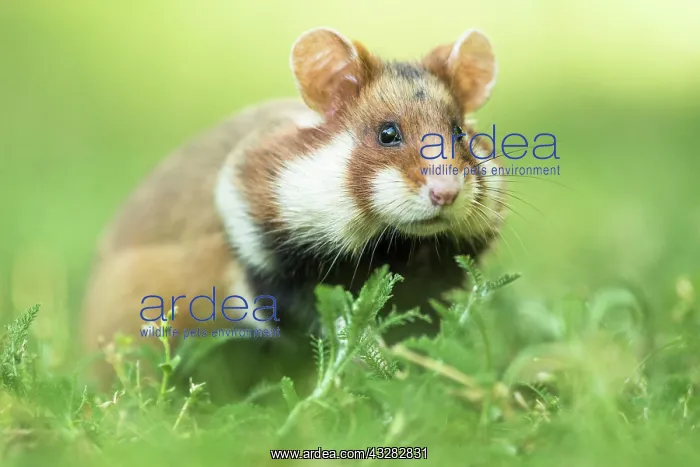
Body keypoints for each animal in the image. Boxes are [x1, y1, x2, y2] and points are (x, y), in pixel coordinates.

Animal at [81, 27, 506, 394]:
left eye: (459, 134)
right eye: (388, 133)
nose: (446, 194)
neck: (395, 243)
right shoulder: (272, 271)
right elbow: (330, 322)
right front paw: (377, 370)